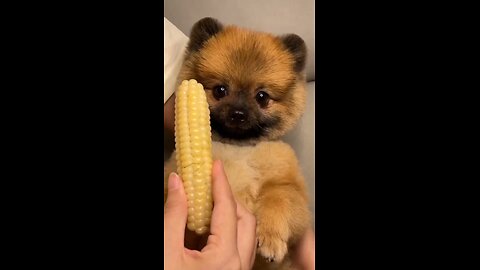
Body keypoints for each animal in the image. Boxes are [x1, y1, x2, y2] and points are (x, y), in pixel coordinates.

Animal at [165, 17, 312, 268]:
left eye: (262, 97)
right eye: (220, 90)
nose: (238, 113)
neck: (237, 148)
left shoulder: (290, 188)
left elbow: (279, 198)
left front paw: (271, 238)